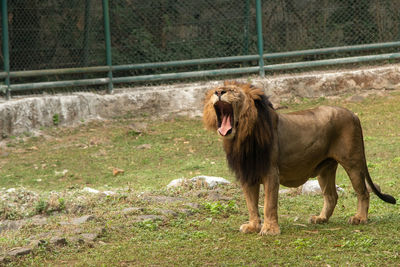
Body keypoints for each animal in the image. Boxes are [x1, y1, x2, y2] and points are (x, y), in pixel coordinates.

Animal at [205, 80, 396, 236]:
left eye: (233, 90)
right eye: (216, 89)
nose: (219, 92)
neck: (241, 137)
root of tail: (353, 114)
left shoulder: (271, 172)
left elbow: (268, 204)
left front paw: (270, 229)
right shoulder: (247, 174)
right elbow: (251, 205)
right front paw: (252, 226)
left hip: (353, 161)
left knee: (363, 192)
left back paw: (360, 218)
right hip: (325, 168)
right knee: (331, 196)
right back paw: (321, 218)